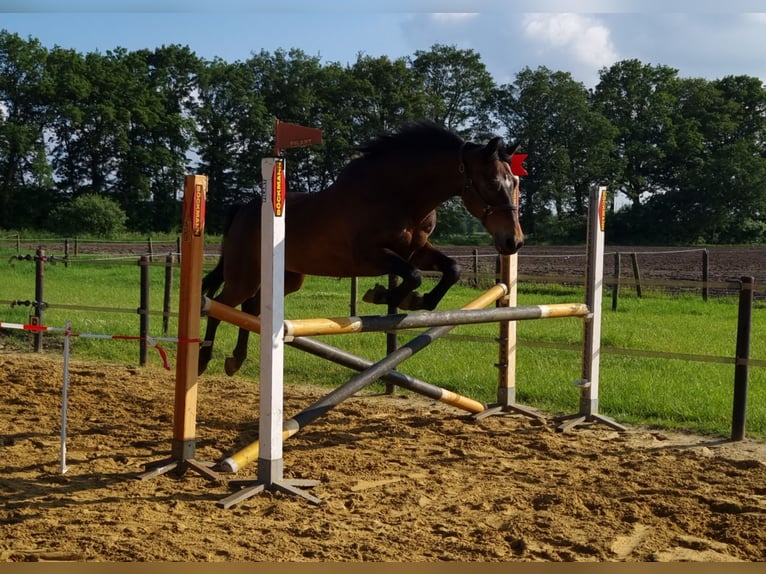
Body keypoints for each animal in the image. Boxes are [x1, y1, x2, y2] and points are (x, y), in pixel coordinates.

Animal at [196, 121, 528, 378]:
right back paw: (203, 359)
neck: (401, 196)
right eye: (491, 182)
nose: (514, 242)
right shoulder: (370, 256)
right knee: (222, 304)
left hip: (288, 278)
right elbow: (414, 275)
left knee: (251, 308)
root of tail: (243, 209)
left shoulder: (418, 249)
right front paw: (385, 295)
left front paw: (412, 300)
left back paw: (236, 359)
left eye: (514, 183)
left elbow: (451, 270)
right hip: (244, 274)